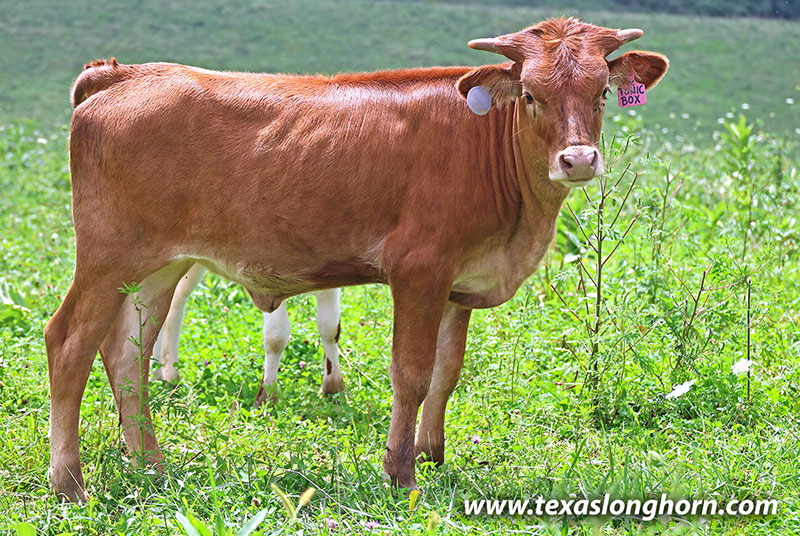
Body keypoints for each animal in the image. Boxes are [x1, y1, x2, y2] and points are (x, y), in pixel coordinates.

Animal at [151, 264, 344, 404]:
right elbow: (276, 336)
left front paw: (334, 389)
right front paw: (268, 397)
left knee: (174, 303)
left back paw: (168, 376)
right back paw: (157, 376)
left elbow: (330, 327)